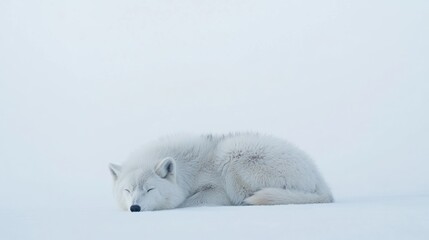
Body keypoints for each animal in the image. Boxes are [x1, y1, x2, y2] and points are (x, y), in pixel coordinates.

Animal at [108, 133, 332, 212]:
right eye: (128, 190)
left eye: (150, 189)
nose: (134, 208)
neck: (186, 169)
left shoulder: (217, 190)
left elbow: (188, 202)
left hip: (232, 152)